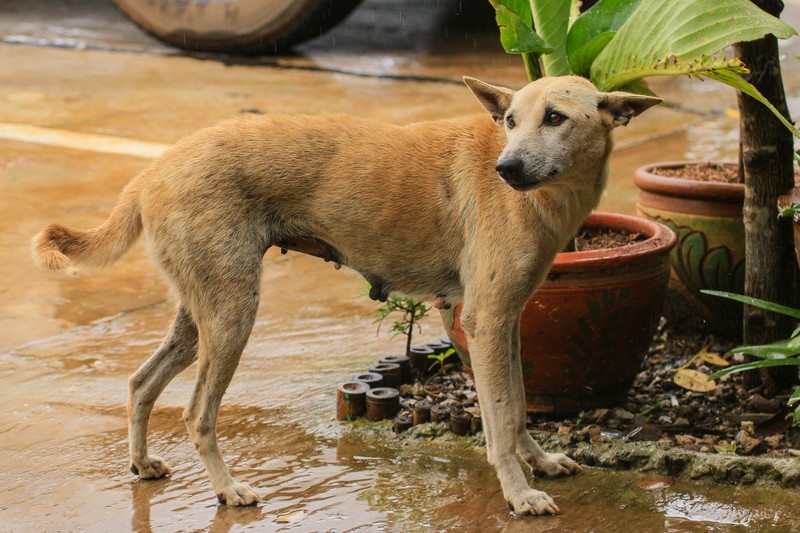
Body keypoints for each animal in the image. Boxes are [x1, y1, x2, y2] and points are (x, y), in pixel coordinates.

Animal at [31, 76, 660, 516]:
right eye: (509, 120)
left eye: (555, 117)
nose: (505, 168)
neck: (551, 197)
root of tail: (151, 171)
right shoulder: (485, 320)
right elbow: (501, 422)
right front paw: (518, 492)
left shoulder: (504, 324)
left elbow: (520, 407)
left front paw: (540, 462)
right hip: (232, 315)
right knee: (196, 413)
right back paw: (228, 489)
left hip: (200, 314)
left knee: (141, 383)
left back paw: (140, 464)